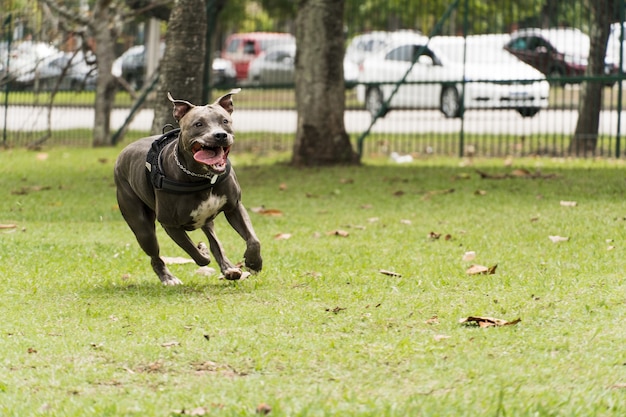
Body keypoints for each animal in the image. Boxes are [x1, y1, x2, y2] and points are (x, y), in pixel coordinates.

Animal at [114, 89, 260, 284]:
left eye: (225, 121)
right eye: (198, 124)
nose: (220, 135)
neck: (202, 177)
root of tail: (124, 151)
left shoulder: (234, 207)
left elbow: (253, 240)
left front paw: (254, 263)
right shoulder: (170, 225)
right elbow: (197, 255)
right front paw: (202, 251)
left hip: (207, 219)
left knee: (215, 241)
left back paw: (229, 268)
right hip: (142, 227)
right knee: (154, 255)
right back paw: (168, 278)